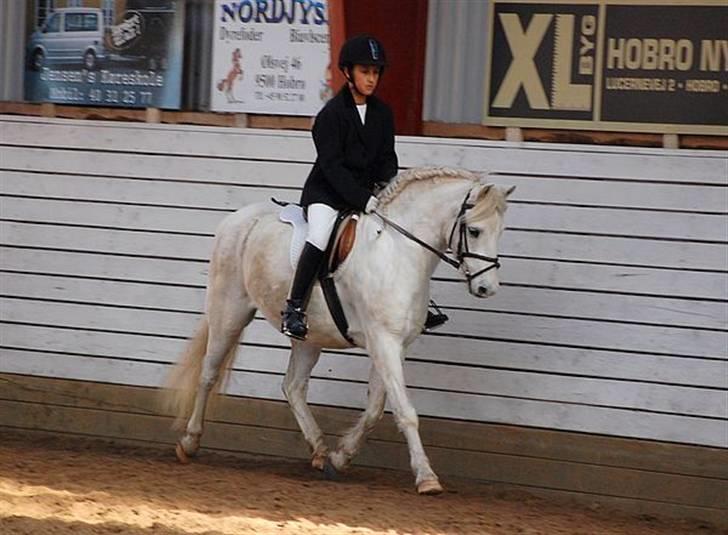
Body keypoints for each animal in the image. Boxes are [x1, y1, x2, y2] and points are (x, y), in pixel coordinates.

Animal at [162, 167, 514, 495]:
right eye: (474, 230)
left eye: (501, 231)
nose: (486, 288)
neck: (398, 252)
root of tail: (238, 218)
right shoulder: (384, 341)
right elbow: (405, 411)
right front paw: (426, 477)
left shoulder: (394, 345)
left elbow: (374, 410)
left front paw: (339, 458)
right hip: (229, 312)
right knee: (208, 374)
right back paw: (190, 442)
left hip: (309, 336)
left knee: (293, 386)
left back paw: (319, 450)